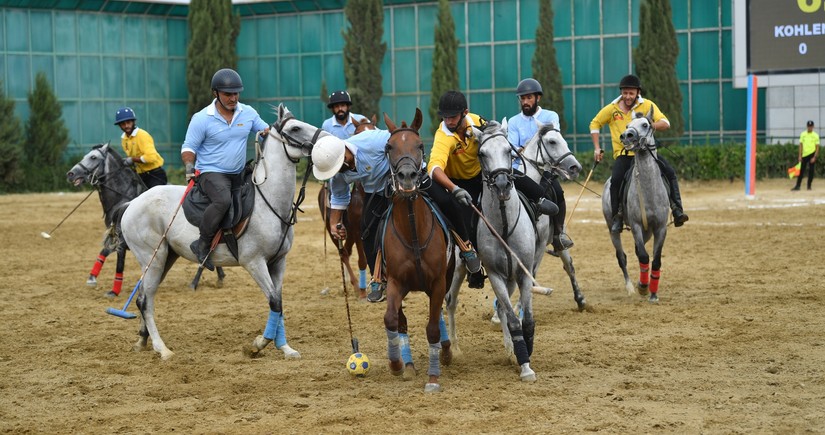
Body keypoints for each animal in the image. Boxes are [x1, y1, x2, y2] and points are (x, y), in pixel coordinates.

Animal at [318, 116, 378, 300]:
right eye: (357, 132)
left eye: (375, 129)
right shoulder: (359, 230)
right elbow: (362, 260)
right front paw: (364, 292)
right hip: (331, 228)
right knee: (343, 253)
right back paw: (356, 286)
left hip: (348, 230)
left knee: (347, 250)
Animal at [604, 109, 668, 304]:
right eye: (627, 125)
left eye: (646, 125)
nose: (627, 135)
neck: (649, 192)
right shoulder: (637, 226)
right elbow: (644, 256)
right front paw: (643, 287)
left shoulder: (660, 228)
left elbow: (655, 260)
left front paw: (653, 294)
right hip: (613, 229)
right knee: (622, 257)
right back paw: (630, 287)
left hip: (648, 232)